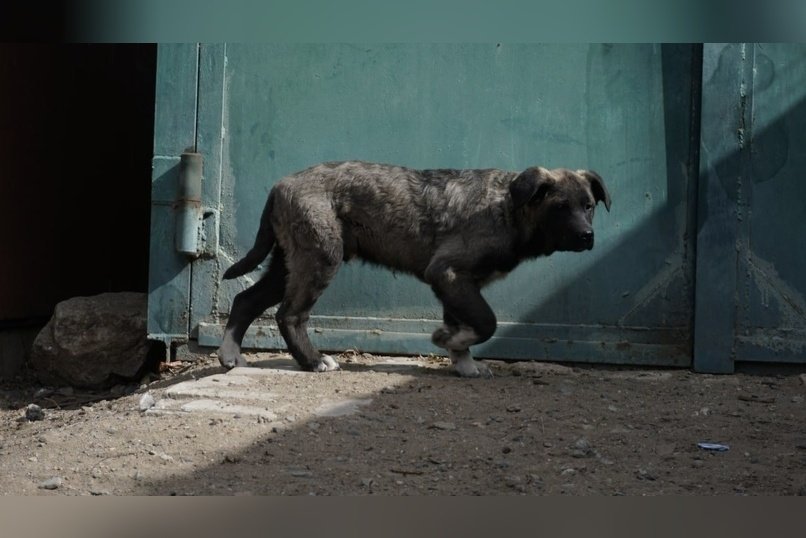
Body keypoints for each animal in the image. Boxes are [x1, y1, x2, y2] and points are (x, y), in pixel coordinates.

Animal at [216, 161, 612, 374]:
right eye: (560, 207)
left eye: (589, 206)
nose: (587, 236)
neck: (509, 208)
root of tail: (279, 185)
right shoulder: (447, 272)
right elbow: (486, 322)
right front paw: (447, 341)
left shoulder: (459, 284)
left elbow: (468, 323)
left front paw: (463, 361)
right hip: (320, 256)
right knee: (290, 314)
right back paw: (313, 361)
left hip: (289, 262)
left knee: (246, 300)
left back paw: (230, 355)